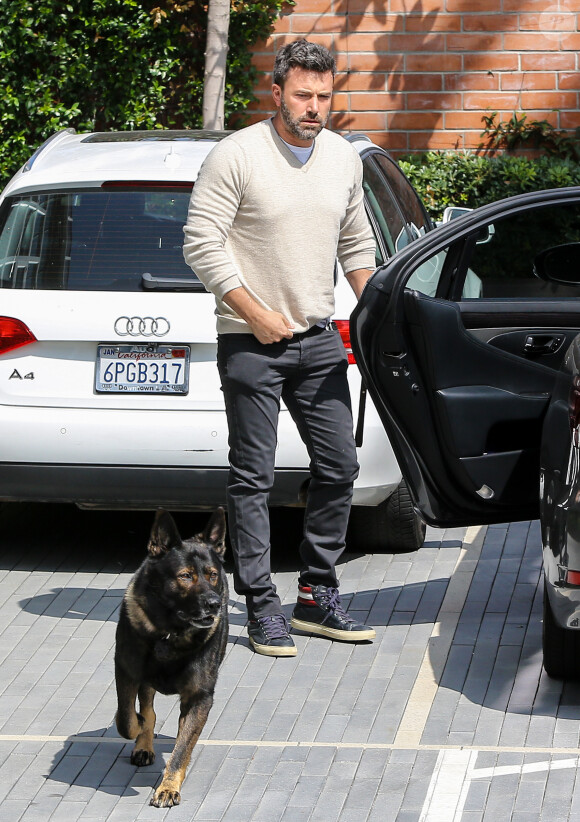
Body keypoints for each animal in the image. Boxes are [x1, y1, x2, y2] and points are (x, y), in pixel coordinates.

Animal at [114, 512, 228, 808]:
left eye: (212, 575)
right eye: (185, 576)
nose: (214, 604)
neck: (171, 631)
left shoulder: (199, 697)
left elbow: (183, 747)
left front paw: (168, 786)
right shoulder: (126, 671)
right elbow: (127, 720)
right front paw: (138, 726)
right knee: (147, 710)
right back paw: (144, 743)